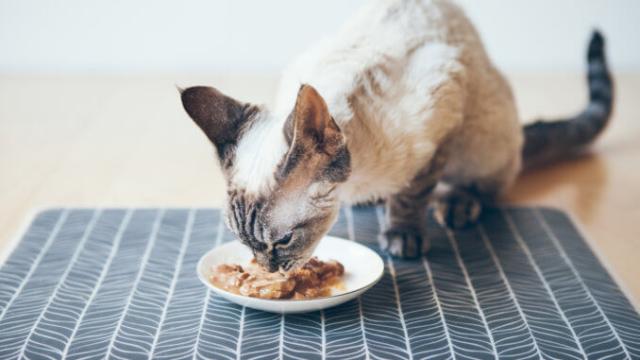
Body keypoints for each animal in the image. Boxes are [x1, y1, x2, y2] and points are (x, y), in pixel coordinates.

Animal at [179, 0, 608, 272]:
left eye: (282, 241)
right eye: (243, 242)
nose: (268, 269)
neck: (353, 183)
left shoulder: (441, 118)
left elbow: (412, 194)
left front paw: (402, 234)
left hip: (482, 140)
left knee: (486, 185)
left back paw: (457, 204)